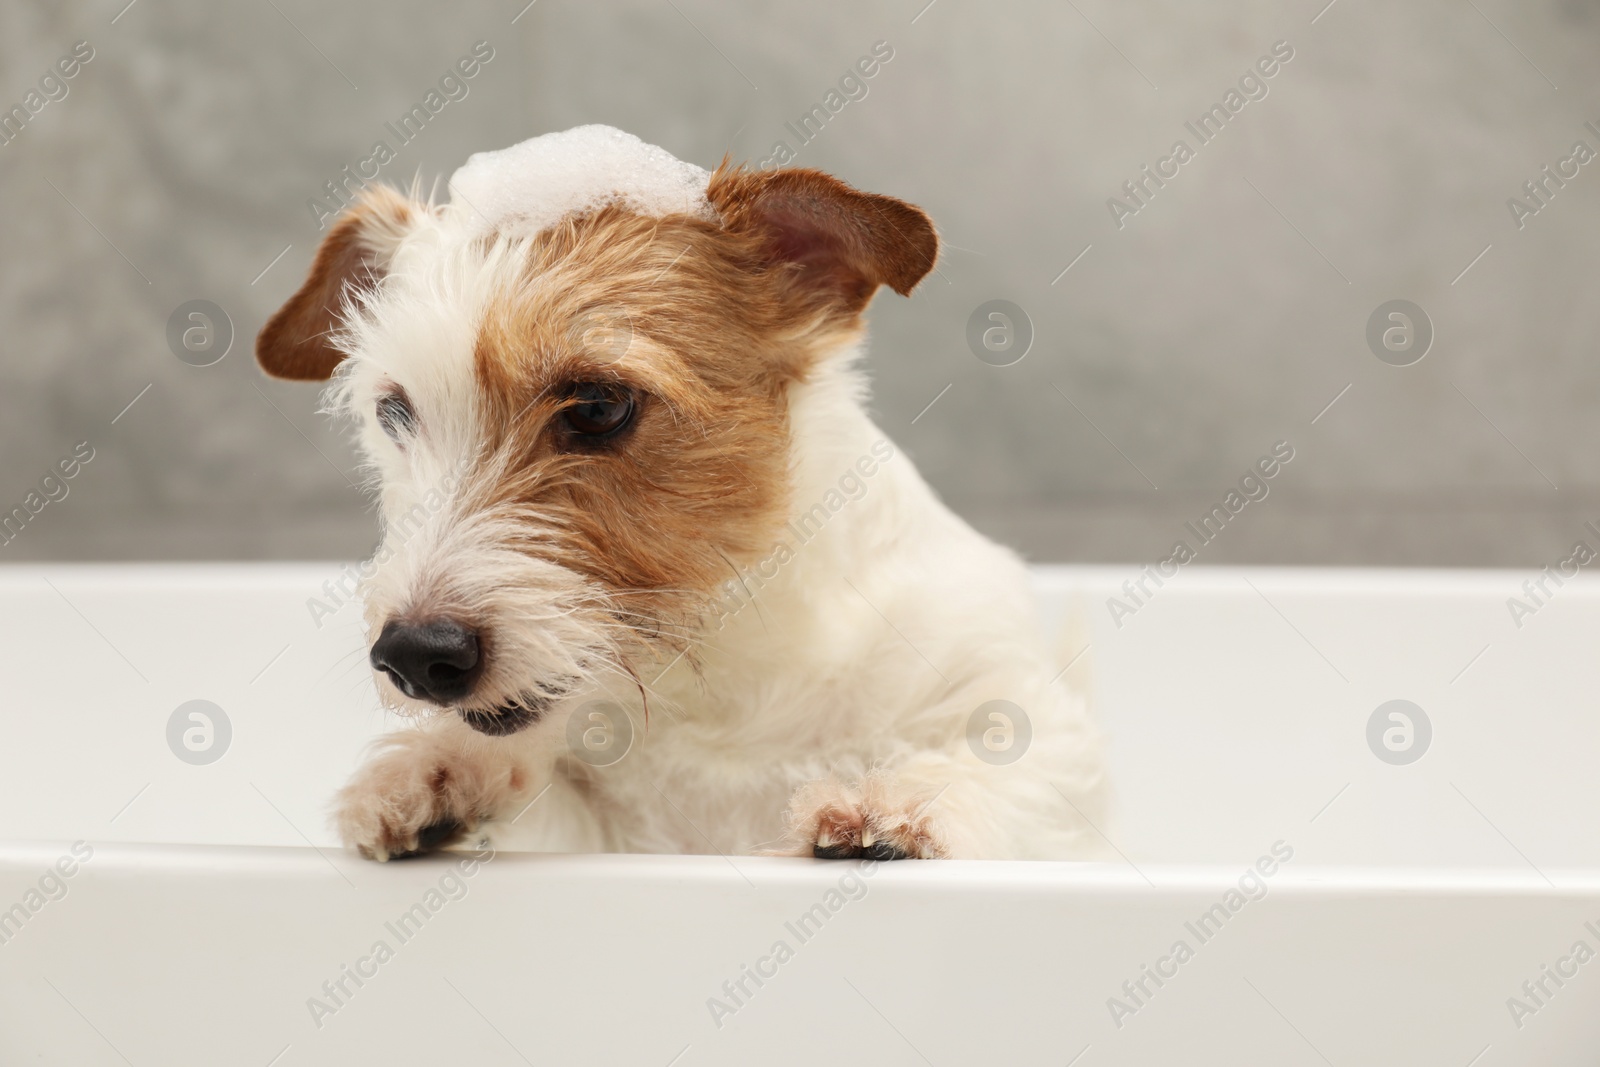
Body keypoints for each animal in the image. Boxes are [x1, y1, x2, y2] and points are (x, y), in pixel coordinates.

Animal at [259, 125, 1113, 857]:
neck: (721, 666)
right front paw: (440, 769)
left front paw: (898, 804)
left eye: (599, 406)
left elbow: (1007, 764)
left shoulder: (1031, 723)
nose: (413, 654)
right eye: (395, 411)